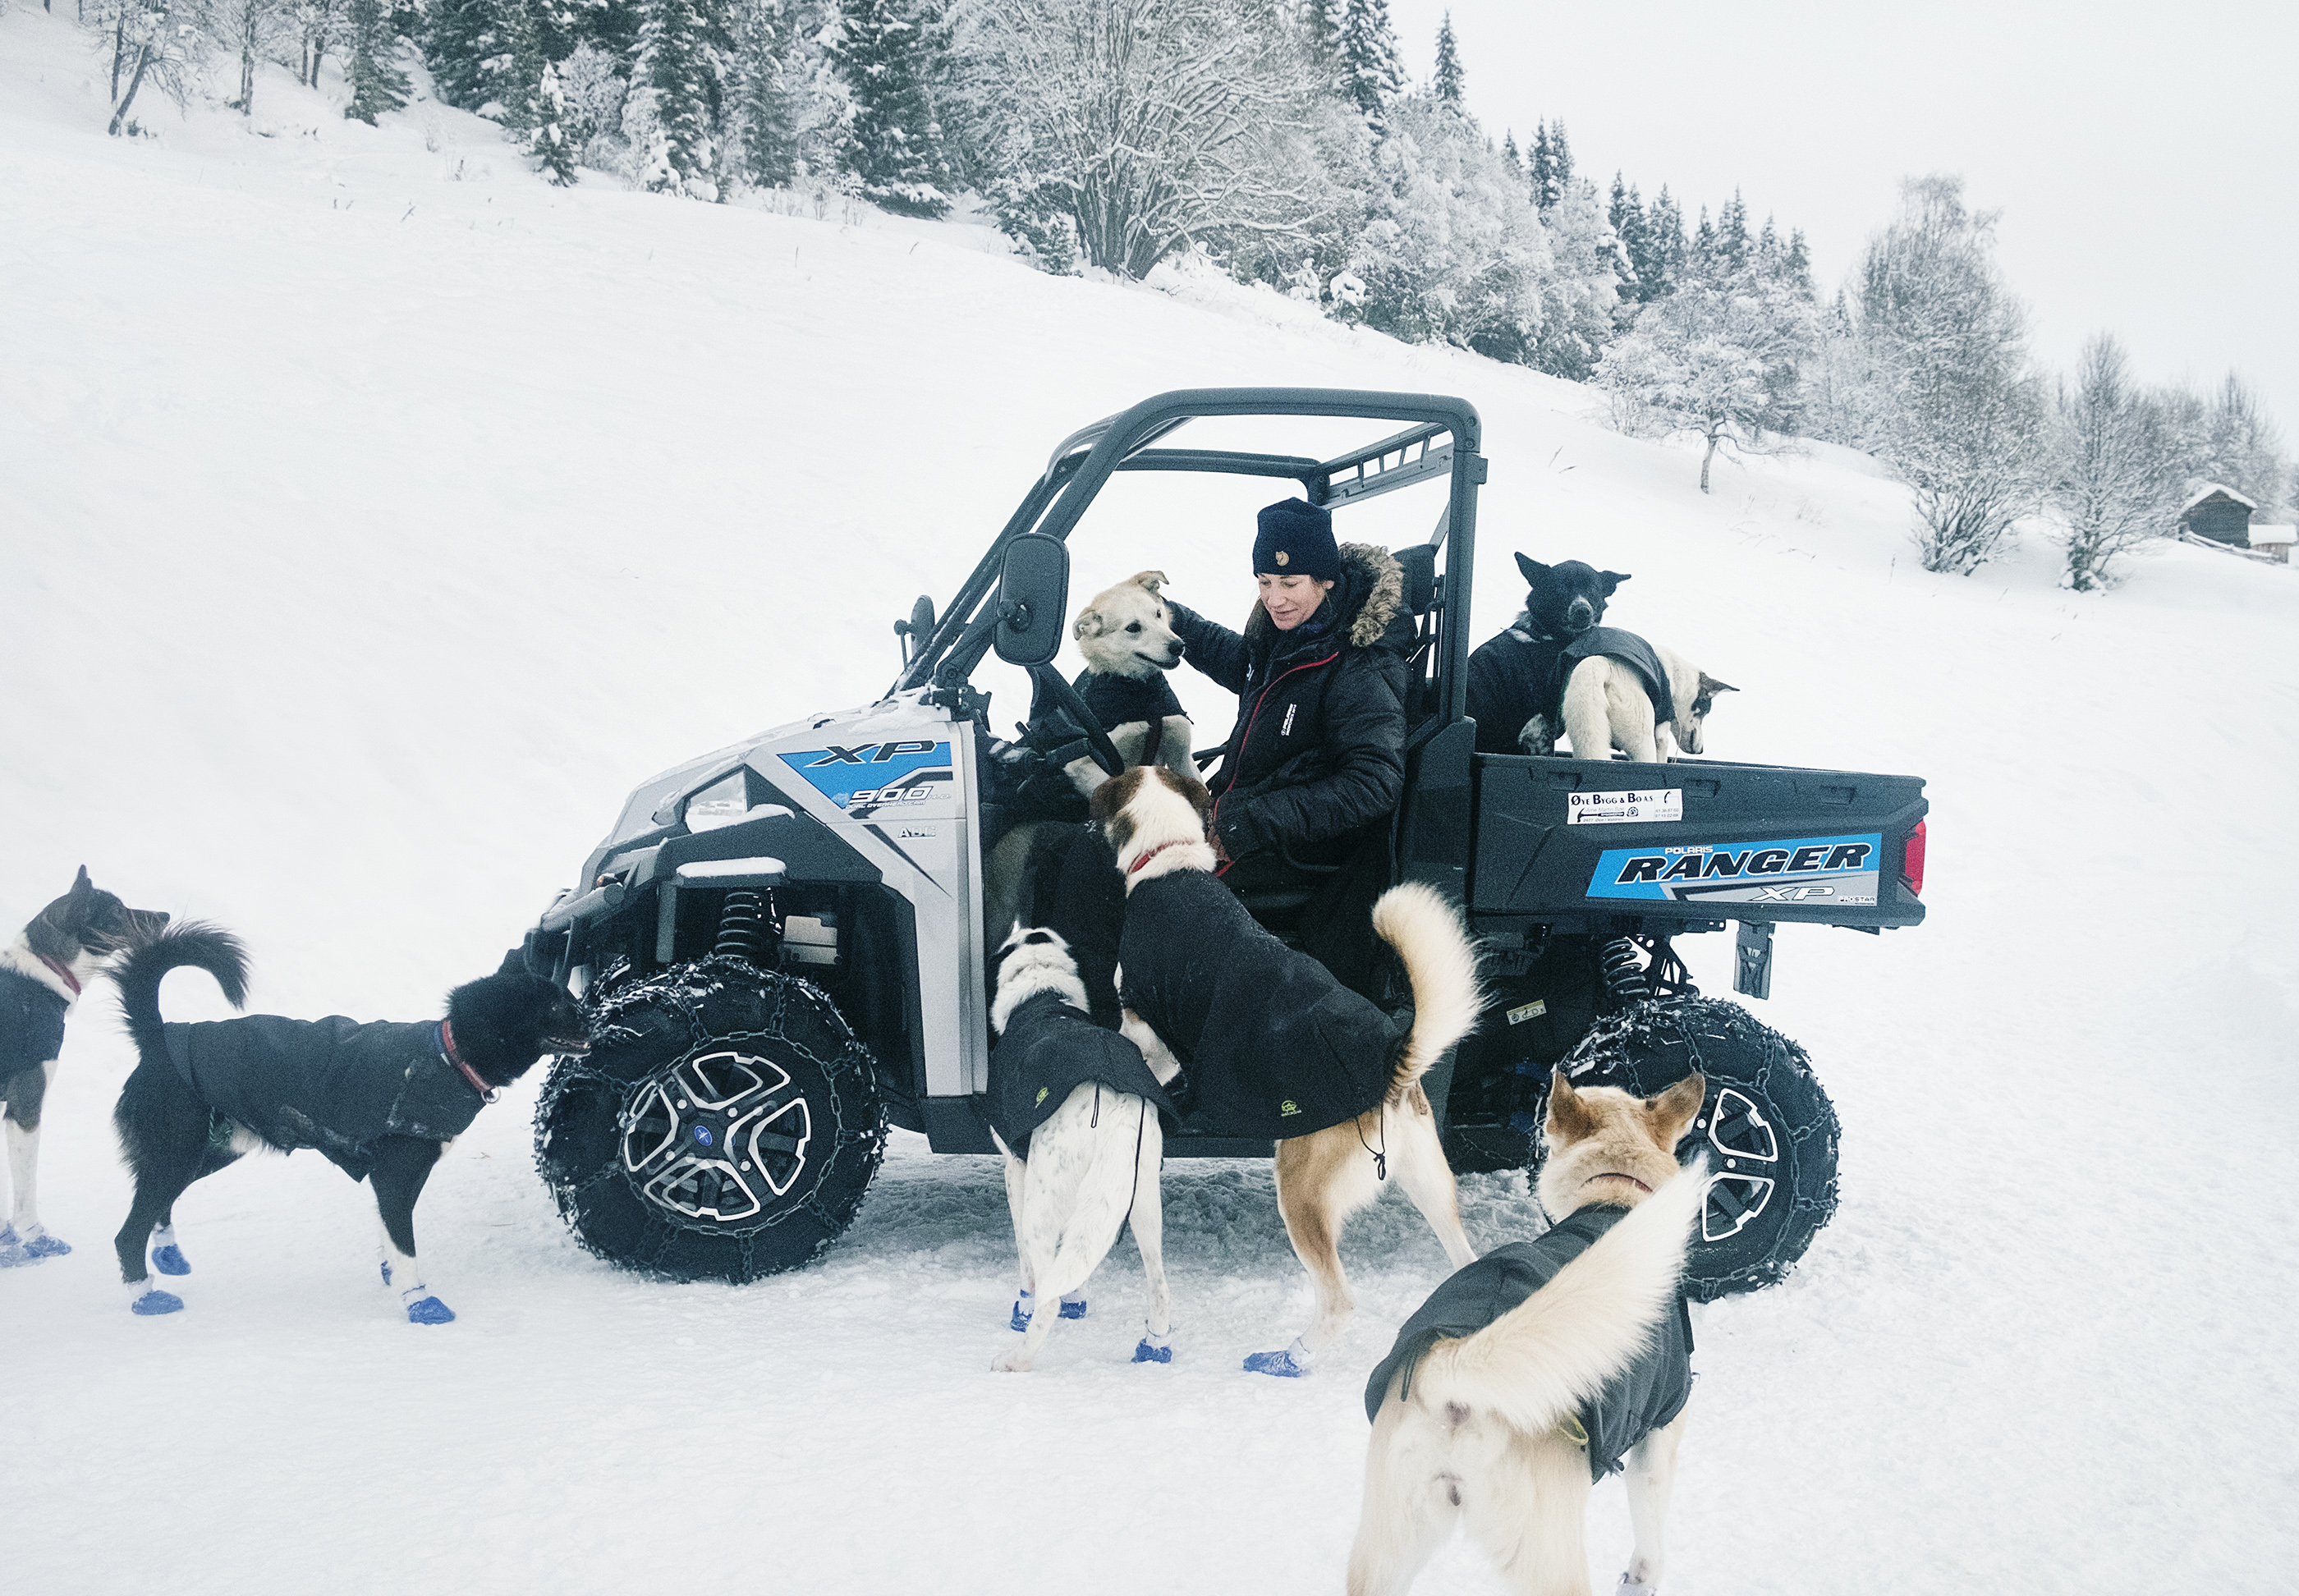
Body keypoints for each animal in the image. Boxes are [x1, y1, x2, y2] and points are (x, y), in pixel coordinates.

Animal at [1, 869, 167, 1269]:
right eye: (118, 912)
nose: (166, 916)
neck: (44, 968)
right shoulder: (25, 1108)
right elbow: (25, 1187)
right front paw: (34, 1238)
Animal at [109, 924, 593, 1324]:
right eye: (555, 1003)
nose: (592, 1015)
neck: (447, 1055)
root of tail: (160, 1036)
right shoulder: (394, 1176)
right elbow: (405, 1244)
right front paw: (418, 1302)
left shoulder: (398, 1177)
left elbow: (389, 1236)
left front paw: (392, 1274)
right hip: (177, 1153)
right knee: (128, 1233)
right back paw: (144, 1296)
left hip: (212, 1149)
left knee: (158, 1208)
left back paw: (168, 1254)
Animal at [1085, 768, 1480, 1379]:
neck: (1169, 861)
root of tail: (1390, 1059)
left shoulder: (1148, 1026)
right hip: (1430, 1185)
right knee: (1467, 1261)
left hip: (1299, 1190)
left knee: (1339, 1301)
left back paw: (1289, 1357)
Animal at [1342, 1075, 1710, 1596]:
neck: (1614, 1195)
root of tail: (1450, 1367)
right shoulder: (1660, 1434)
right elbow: (1650, 1543)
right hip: (1552, 1558)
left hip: (1385, 1549)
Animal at [1563, 648, 1737, 768]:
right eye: (1704, 714)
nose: (1701, 750)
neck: (1676, 678)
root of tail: (1604, 662)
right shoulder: (1661, 737)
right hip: (1644, 743)